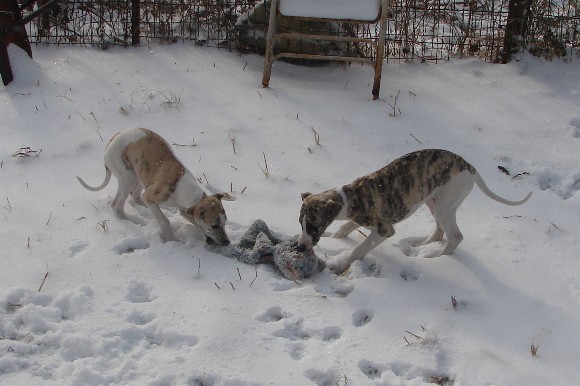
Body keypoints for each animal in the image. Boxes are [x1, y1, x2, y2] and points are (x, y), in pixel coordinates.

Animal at [78, 128, 234, 246]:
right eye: (214, 225)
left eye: (225, 222)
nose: (227, 242)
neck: (186, 190)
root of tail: (114, 137)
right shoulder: (152, 196)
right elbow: (164, 221)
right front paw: (173, 240)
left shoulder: (184, 209)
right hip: (128, 177)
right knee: (118, 205)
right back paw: (126, 220)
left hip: (138, 176)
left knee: (133, 197)